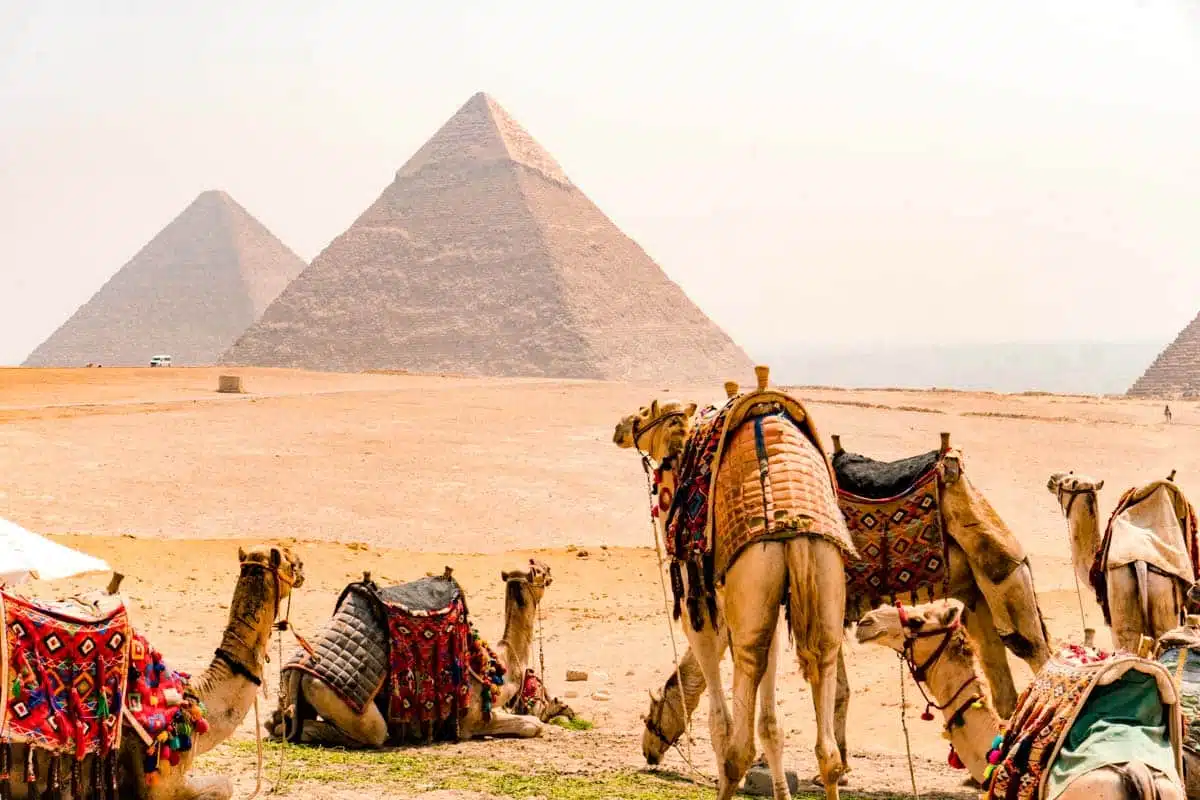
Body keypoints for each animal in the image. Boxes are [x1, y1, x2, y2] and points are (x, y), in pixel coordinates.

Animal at [271, 561, 557, 747]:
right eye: (541, 572)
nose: (550, 572)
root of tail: (299, 671)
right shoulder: (470, 720)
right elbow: (533, 725)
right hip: (336, 698)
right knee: (371, 734)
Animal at [617, 367, 850, 800]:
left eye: (643, 414)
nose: (620, 427)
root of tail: (794, 526)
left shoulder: (703, 612)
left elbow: (719, 722)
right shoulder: (770, 612)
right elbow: (771, 724)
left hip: (752, 599)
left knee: (737, 748)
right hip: (823, 587)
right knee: (826, 746)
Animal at [626, 413, 1051, 774]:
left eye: (651, 711)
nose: (648, 751)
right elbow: (839, 688)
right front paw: (840, 763)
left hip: (1002, 571)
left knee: (1031, 646)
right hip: (974, 594)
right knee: (1002, 676)